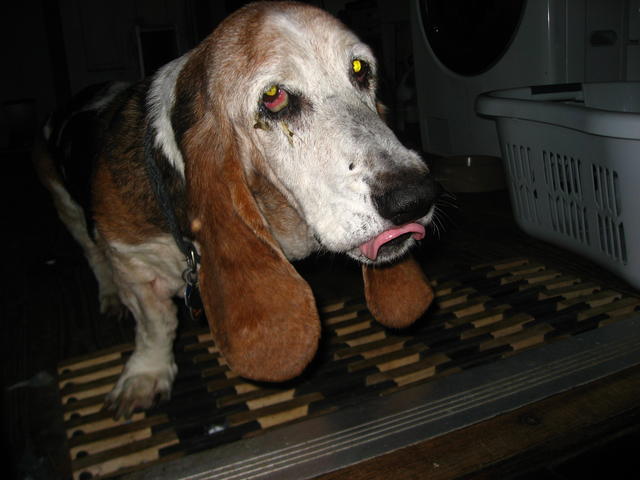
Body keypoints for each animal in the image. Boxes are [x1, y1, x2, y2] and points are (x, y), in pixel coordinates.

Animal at [34, 1, 440, 420]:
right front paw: (145, 375)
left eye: (360, 70)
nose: (415, 197)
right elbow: (155, 324)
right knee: (92, 254)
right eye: (274, 97)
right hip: (65, 205)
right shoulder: (133, 261)